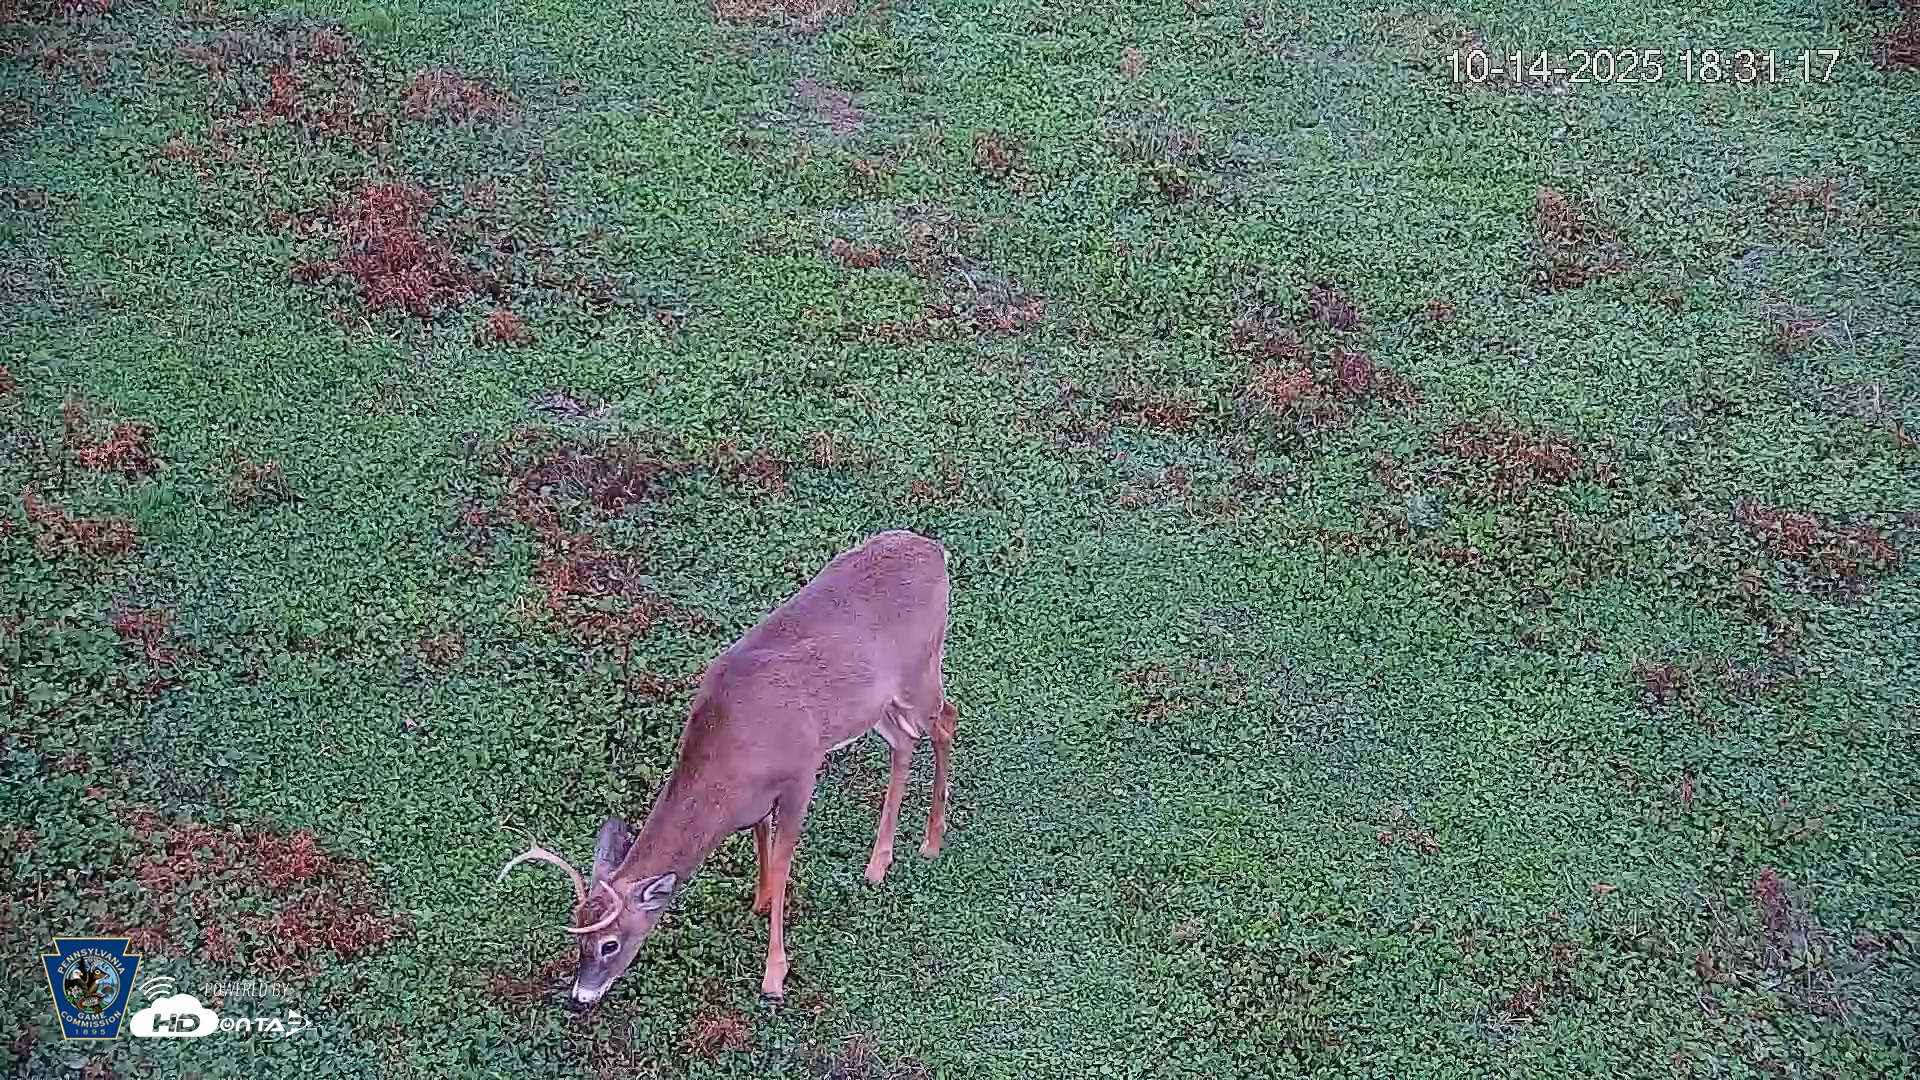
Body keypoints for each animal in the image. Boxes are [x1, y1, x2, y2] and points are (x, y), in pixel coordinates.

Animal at [499, 529, 958, 1006]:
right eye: (578, 935)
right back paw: (878, 864)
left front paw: (774, 976)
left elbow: (783, 860)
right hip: (877, 703)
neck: (732, 751)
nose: (580, 997)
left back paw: (931, 841)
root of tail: (934, 550)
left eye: (609, 944)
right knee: (905, 739)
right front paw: (759, 900)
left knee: (947, 720)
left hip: (921, 668)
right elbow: (761, 842)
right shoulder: (755, 799)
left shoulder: (801, 770)